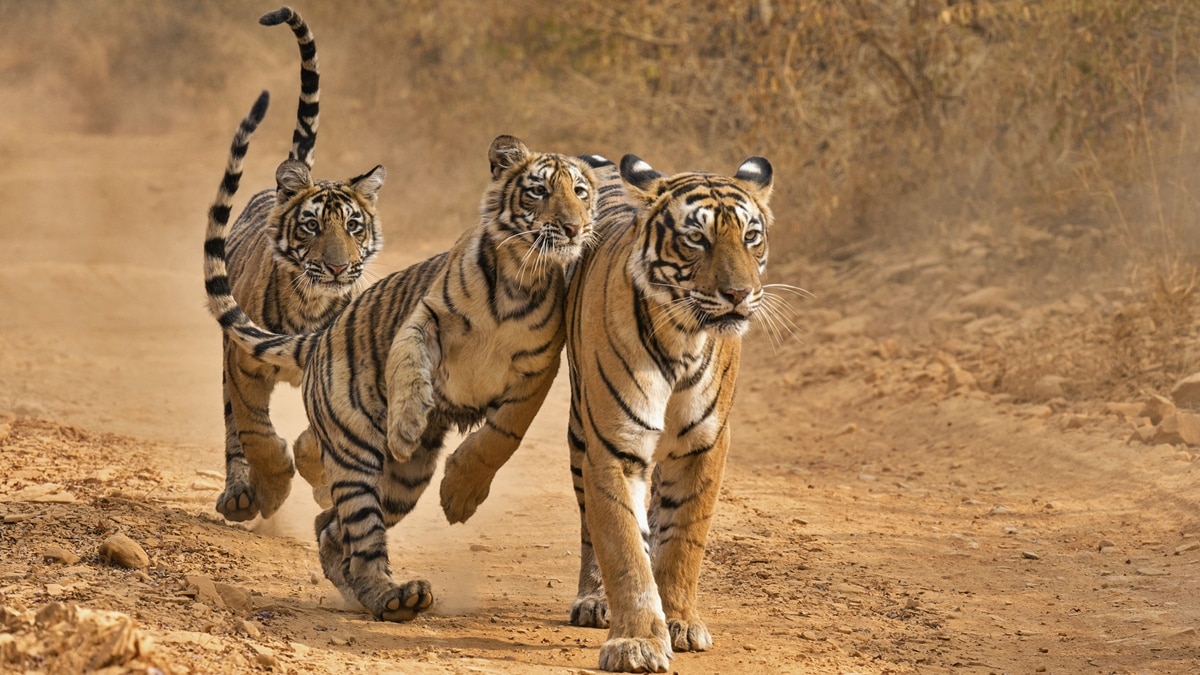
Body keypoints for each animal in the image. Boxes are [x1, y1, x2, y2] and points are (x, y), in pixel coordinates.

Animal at [204, 91, 599, 621]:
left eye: (580, 192)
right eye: (538, 192)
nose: (574, 228)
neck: (520, 276)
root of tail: (320, 337)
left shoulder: (539, 369)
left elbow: (502, 435)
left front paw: (460, 496)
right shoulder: (425, 316)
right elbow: (410, 363)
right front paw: (408, 425)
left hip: (403, 483)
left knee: (332, 529)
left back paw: (382, 593)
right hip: (356, 452)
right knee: (356, 529)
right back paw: (393, 595)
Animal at [213, 6, 385, 523]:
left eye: (353, 226)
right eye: (312, 226)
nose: (337, 269)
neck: (311, 303)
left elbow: (319, 439)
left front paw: (320, 480)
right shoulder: (243, 364)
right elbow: (257, 434)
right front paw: (272, 490)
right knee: (233, 430)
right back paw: (240, 495)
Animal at [439, 152, 775, 672]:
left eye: (751, 236)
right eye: (696, 238)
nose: (739, 294)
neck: (683, 338)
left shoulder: (704, 446)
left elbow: (684, 538)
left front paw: (679, 622)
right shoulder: (613, 444)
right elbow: (622, 546)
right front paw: (636, 641)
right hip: (582, 433)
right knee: (592, 525)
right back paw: (595, 599)